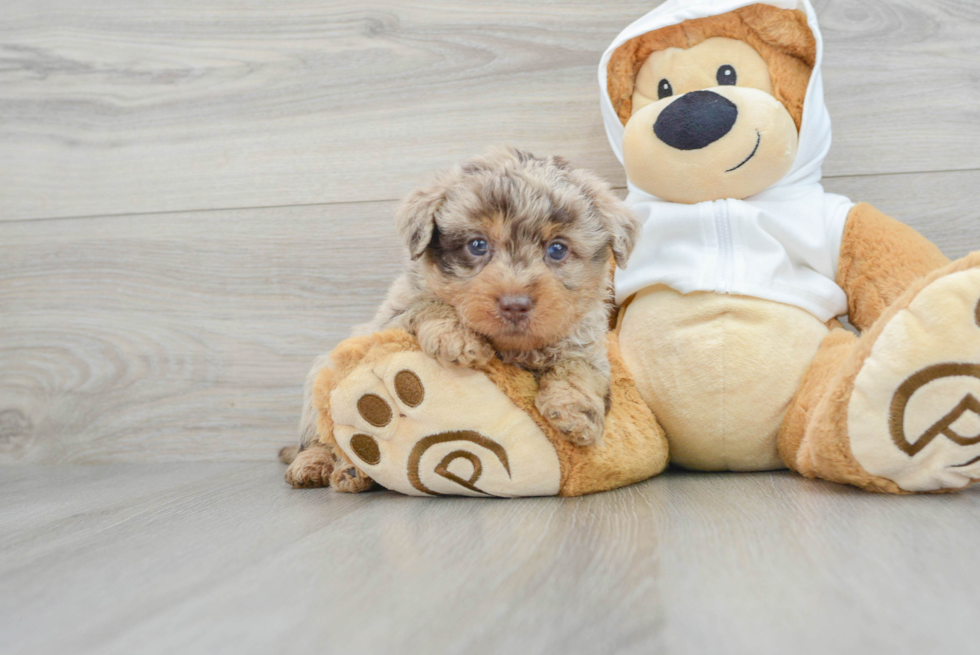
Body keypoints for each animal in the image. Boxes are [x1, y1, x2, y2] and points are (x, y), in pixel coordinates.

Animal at [280, 147, 640, 486]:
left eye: (557, 249)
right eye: (477, 245)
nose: (515, 304)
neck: (511, 347)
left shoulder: (585, 344)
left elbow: (577, 370)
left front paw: (573, 414)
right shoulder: (389, 319)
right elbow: (428, 303)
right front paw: (457, 338)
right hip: (319, 385)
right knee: (320, 439)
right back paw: (321, 467)